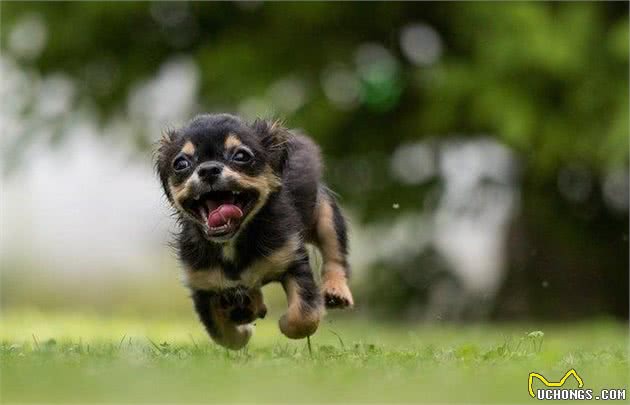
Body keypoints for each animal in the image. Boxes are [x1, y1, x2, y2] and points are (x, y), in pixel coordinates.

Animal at [157, 113, 356, 348]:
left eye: (241, 156)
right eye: (181, 163)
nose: (208, 169)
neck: (231, 242)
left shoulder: (292, 260)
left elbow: (303, 316)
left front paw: (284, 323)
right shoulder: (203, 286)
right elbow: (224, 336)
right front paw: (243, 330)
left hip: (326, 215)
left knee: (335, 255)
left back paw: (336, 290)